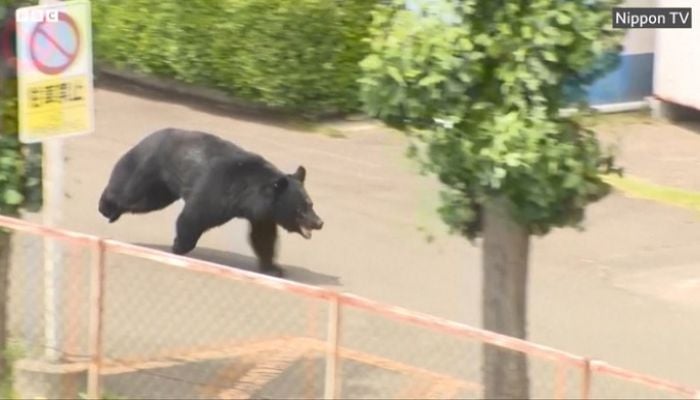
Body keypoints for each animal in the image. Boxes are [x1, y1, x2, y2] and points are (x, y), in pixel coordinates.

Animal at [98, 127, 324, 277]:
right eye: (302, 208)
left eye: (311, 204)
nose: (319, 222)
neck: (249, 193)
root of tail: (149, 136)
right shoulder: (220, 189)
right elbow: (194, 215)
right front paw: (179, 246)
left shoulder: (262, 214)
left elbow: (263, 237)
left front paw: (274, 268)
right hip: (151, 171)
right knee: (132, 195)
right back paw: (106, 207)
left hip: (163, 187)